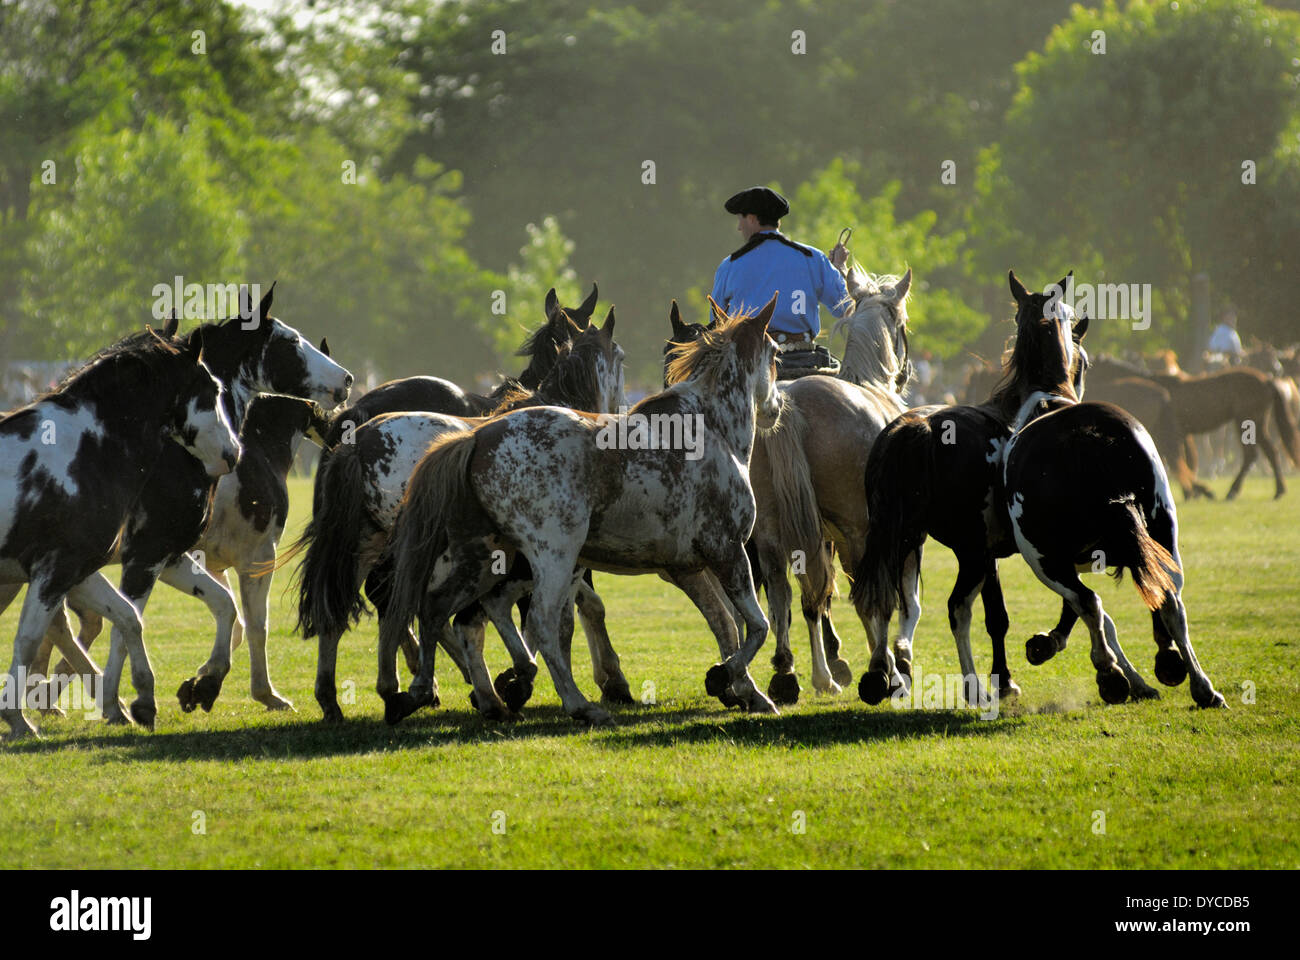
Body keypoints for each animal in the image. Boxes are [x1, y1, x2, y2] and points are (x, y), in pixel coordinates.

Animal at [0, 325, 241, 738]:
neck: (84, 452)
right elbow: (28, 641)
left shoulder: (81, 571)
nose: (232, 453)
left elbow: (129, 617)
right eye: (212, 389)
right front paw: (18, 718)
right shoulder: (58, 571)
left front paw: (143, 701)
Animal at [289, 312, 624, 718]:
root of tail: (357, 443)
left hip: (364, 544)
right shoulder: (548, 555)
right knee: (403, 602)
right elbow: (557, 617)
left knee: (347, 609)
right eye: (620, 356)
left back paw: (346, 695)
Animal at [377, 293, 780, 723]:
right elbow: (754, 625)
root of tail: (478, 437)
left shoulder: (688, 567)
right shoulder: (727, 552)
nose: (777, 406)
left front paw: (745, 690)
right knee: (538, 623)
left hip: (485, 558)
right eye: (776, 352)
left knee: (438, 610)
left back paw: (427, 693)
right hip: (553, 556)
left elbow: (727, 626)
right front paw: (729, 681)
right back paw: (577, 703)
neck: (710, 426)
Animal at [847, 273, 1092, 707]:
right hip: (966, 550)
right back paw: (970, 684)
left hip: (902, 538)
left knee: (884, 599)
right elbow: (1052, 604)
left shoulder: (989, 552)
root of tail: (919, 429)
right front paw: (1022, 663)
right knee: (955, 607)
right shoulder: (1030, 543)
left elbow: (997, 615)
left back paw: (881, 672)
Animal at [1003, 316, 1227, 712]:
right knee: (1170, 599)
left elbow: (1090, 612)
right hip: (1162, 532)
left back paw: (1111, 675)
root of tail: (1086, 438)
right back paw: (1199, 684)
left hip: (1042, 559)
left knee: (1090, 603)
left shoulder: (1061, 561)